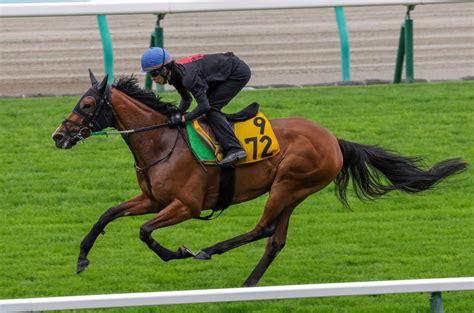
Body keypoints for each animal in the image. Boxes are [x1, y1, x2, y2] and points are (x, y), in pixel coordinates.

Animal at [51, 72, 466, 286]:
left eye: (87, 104)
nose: (58, 136)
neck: (162, 142)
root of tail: (333, 138)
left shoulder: (185, 206)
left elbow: (145, 232)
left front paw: (178, 252)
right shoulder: (152, 199)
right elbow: (106, 215)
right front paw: (82, 260)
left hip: (288, 184)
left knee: (263, 228)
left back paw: (208, 251)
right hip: (294, 191)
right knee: (274, 239)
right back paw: (248, 284)